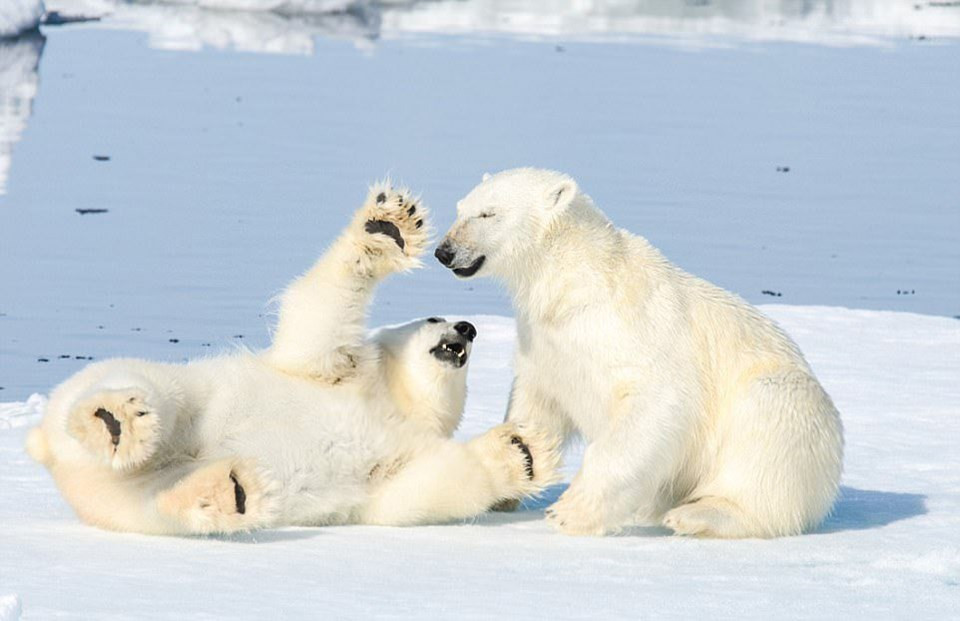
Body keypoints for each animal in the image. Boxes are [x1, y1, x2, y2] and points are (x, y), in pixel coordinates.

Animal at [26, 183, 560, 532]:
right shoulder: (340, 372)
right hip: (170, 393)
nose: (467, 328)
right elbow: (317, 323)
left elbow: (414, 494)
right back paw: (117, 420)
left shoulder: (388, 465)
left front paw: (526, 451)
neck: (394, 402)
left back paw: (232, 490)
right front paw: (387, 227)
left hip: (121, 497)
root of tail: (47, 450)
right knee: (146, 391)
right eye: (433, 316)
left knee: (156, 503)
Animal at [438, 167, 844, 536]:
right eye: (461, 208)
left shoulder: (634, 334)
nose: (445, 251)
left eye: (488, 213)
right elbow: (536, 402)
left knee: (764, 431)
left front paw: (571, 511)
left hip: (788, 410)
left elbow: (656, 403)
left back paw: (697, 515)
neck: (574, 282)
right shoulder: (546, 342)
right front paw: (511, 471)